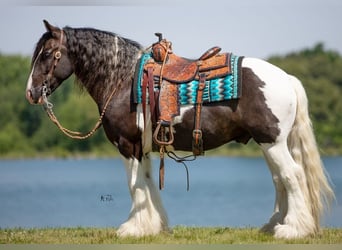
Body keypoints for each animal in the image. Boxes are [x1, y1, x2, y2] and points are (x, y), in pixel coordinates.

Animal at [26, 20, 334, 239]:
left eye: (47, 54)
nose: (31, 92)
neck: (122, 80)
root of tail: (286, 78)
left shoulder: (128, 145)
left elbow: (134, 186)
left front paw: (133, 228)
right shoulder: (143, 149)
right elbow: (148, 182)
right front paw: (154, 226)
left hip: (272, 142)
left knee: (292, 175)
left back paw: (293, 229)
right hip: (269, 143)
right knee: (279, 179)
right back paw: (273, 225)